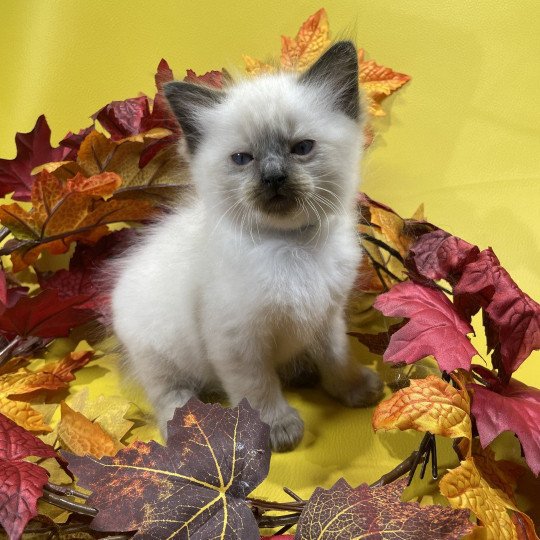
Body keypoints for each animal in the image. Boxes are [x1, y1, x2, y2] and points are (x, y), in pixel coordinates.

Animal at [112, 41, 384, 452]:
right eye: (242, 159)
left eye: (302, 148)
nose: (273, 177)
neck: (290, 246)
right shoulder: (239, 342)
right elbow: (257, 391)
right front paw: (277, 430)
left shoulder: (326, 316)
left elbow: (337, 360)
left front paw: (354, 389)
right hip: (160, 353)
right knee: (168, 396)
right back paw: (184, 427)